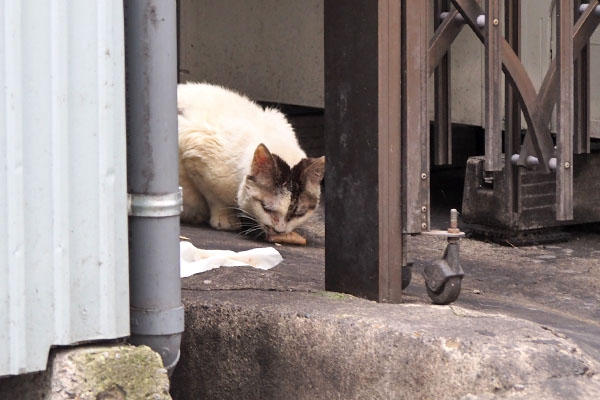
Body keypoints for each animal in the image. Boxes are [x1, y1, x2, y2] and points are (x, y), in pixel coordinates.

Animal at [176, 82, 326, 238]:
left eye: (298, 214)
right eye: (266, 208)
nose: (279, 231)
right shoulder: (195, 151)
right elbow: (214, 197)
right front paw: (225, 218)